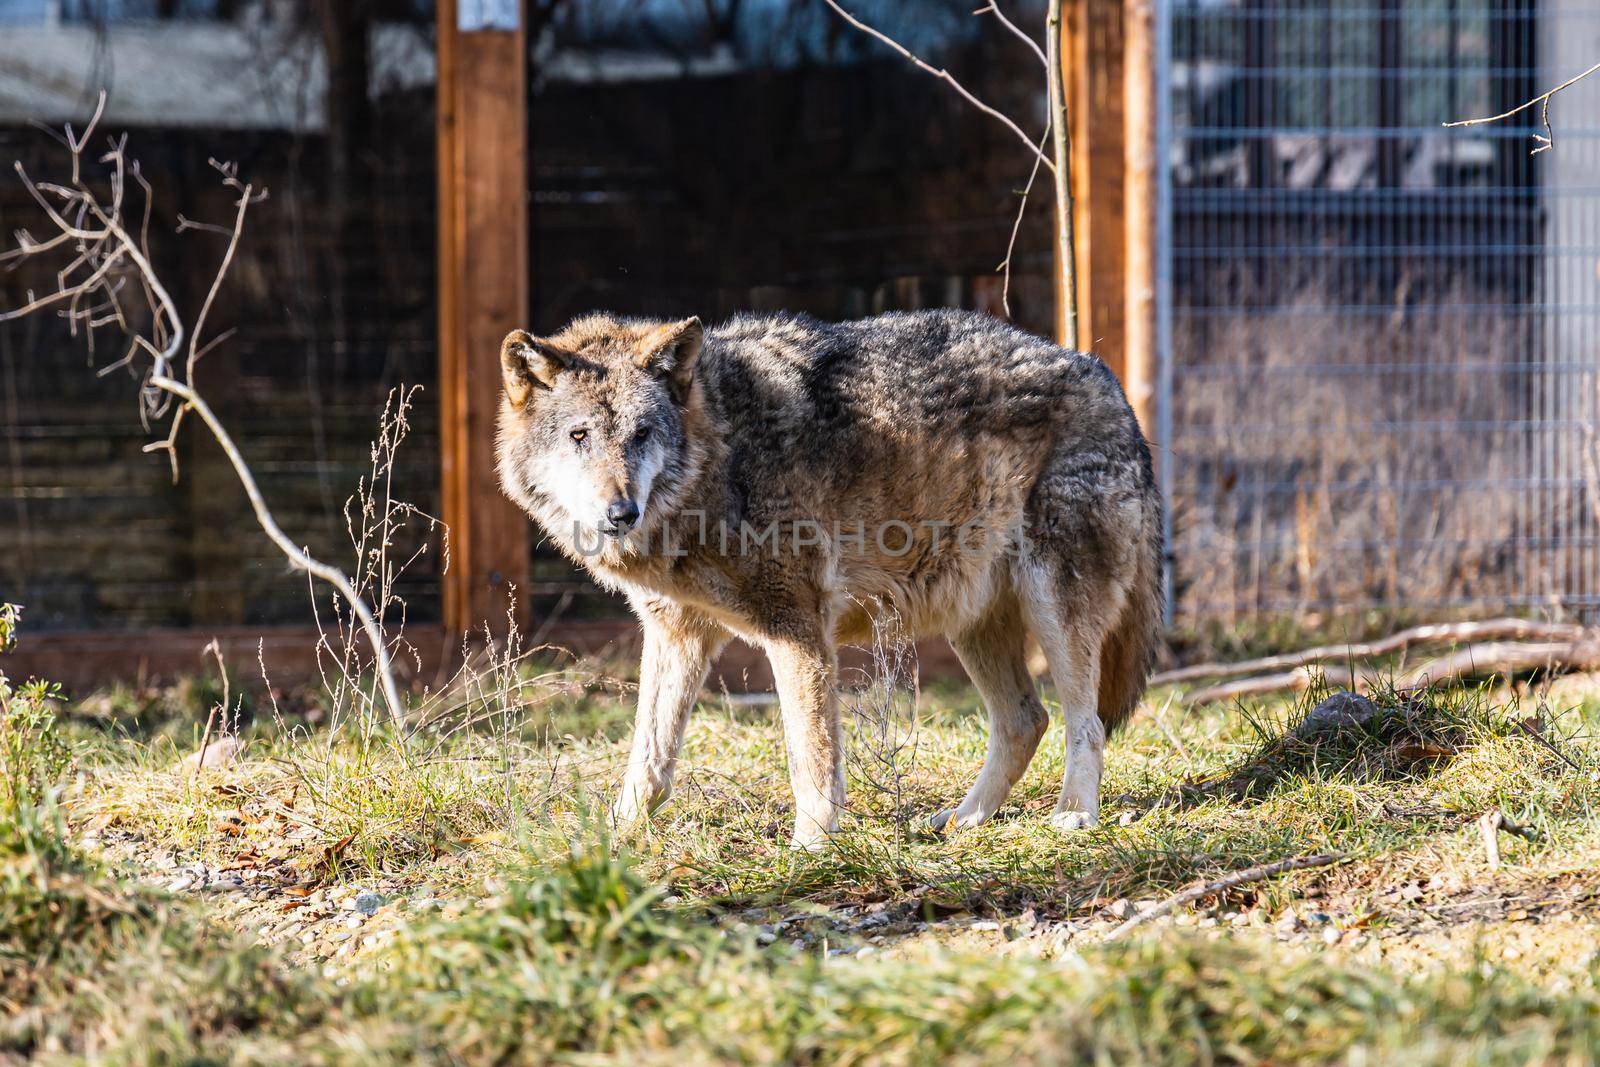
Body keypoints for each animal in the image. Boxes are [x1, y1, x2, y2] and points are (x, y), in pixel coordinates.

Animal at [496, 308, 1164, 851]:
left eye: (641, 435)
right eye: (580, 436)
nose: (622, 512)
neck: (719, 458)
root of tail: (1108, 380)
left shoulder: (796, 626)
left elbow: (810, 755)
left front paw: (812, 846)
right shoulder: (676, 633)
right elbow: (649, 760)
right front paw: (613, 838)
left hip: (1053, 611)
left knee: (1086, 723)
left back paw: (1074, 815)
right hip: (970, 622)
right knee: (1026, 721)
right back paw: (964, 819)